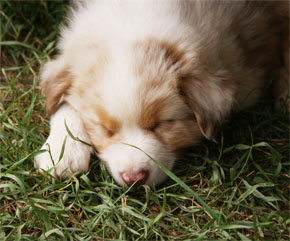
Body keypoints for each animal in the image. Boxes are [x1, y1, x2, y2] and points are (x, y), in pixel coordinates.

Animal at [35, 0, 288, 187]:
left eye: (162, 124)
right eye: (105, 129)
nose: (133, 179)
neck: (133, 21)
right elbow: (64, 103)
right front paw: (60, 153)